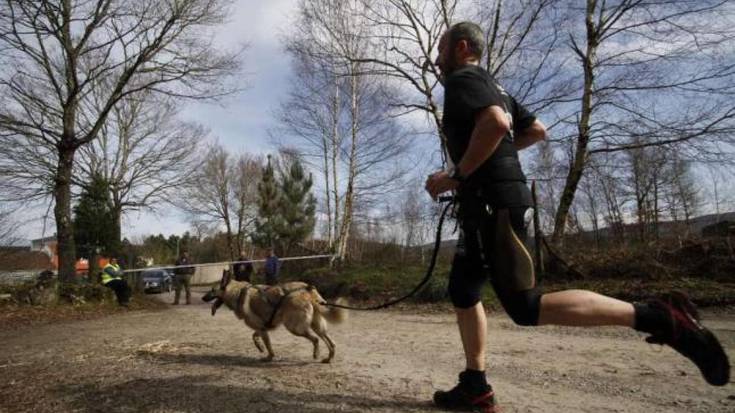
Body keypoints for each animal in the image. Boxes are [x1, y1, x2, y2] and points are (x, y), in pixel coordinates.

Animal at [203, 268, 350, 360]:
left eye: (212, 290)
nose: (202, 298)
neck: (238, 293)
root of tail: (307, 290)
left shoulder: (262, 329)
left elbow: (268, 345)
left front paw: (269, 357)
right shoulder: (262, 327)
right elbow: (255, 336)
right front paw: (260, 347)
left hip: (295, 328)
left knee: (316, 340)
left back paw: (316, 354)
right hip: (317, 326)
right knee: (330, 342)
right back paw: (328, 358)